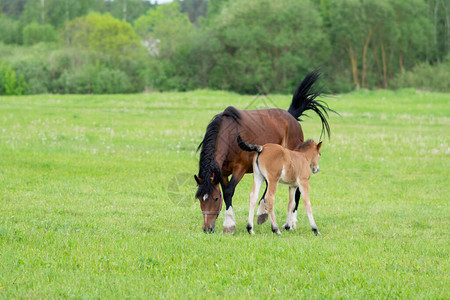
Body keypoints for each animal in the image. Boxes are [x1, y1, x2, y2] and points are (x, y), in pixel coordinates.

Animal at [193, 69, 334, 232]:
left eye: (215, 199)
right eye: (200, 199)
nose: (207, 228)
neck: (229, 135)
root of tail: (291, 117)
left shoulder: (240, 168)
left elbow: (229, 190)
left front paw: (229, 224)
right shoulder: (221, 172)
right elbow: (227, 191)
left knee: (295, 190)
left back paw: (289, 222)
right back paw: (263, 212)